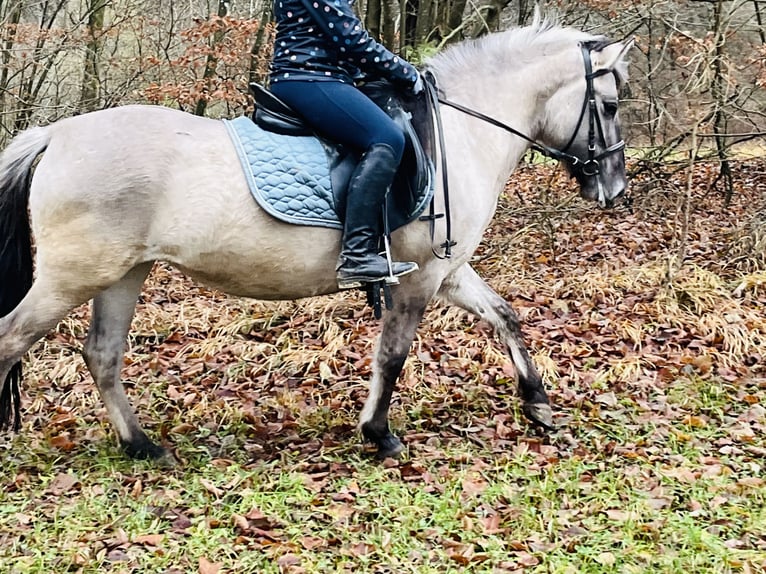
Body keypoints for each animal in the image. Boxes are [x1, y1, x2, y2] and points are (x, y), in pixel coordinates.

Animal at [0, 19, 632, 464]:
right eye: (608, 106)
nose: (614, 188)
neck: (458, 133)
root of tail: (54, 135)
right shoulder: (420, 277)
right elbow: (393, 353)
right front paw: (379, 434)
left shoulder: (448, 271)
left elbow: (505, 316)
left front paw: (538, 404)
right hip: (73, 277)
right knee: (13, 339)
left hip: (121, 274)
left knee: (102, 354)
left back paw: (142, 446)